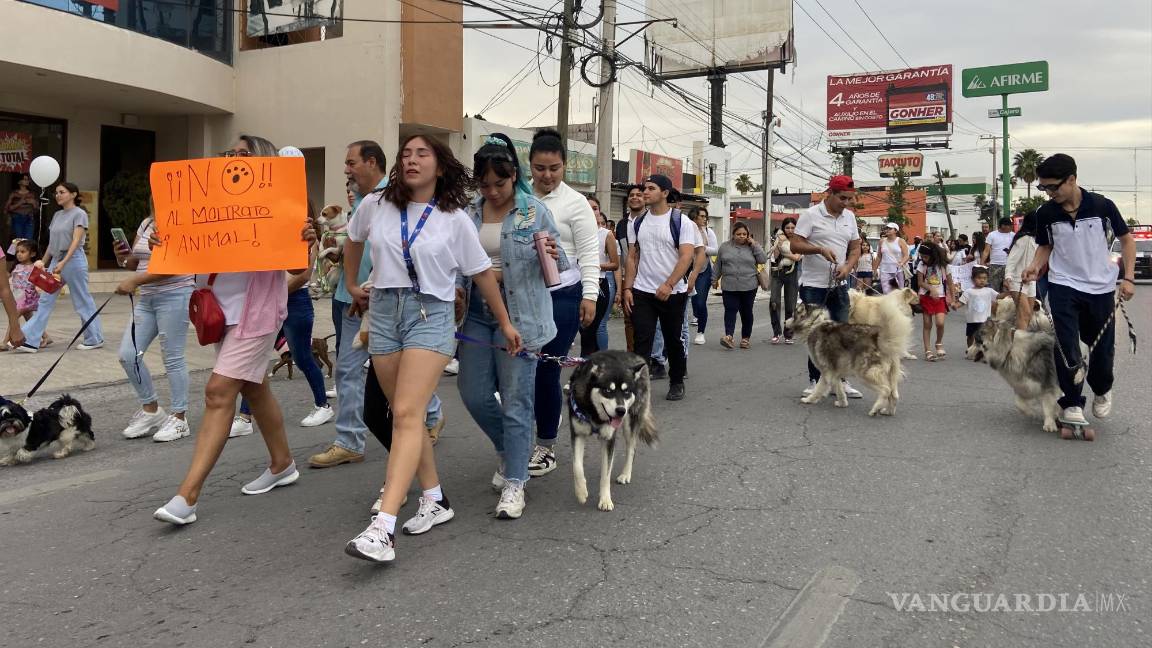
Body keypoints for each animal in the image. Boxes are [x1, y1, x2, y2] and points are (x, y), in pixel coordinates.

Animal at [566, 348, 658, 509]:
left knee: (632, 449)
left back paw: (626, 474)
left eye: (626, 391)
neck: (595, 414)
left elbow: (606, 474)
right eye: (608, 390)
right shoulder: (577, 434)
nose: (620, 410)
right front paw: (581, 492)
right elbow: (577, 466)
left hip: (630, 422)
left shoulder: (609, 439)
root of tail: (636, 356)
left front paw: (605, 500)